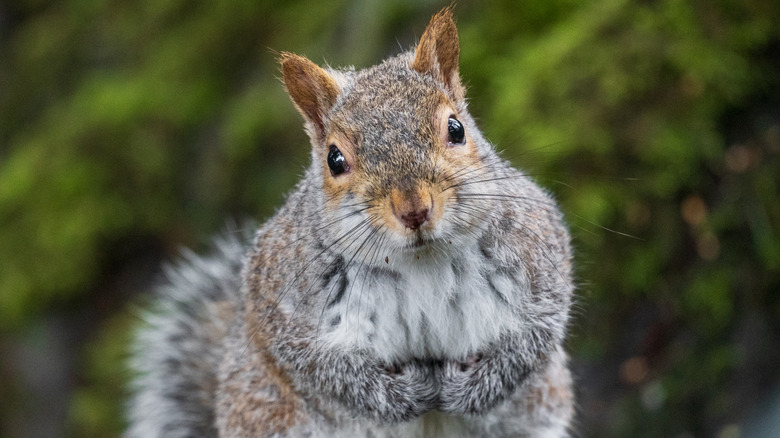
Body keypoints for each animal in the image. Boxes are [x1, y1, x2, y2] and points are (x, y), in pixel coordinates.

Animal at [126, 8, 575, 438]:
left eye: (456, 128)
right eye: (334, 159)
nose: (414, 210)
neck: (420, 260)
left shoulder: (538, 250)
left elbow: (534, 337)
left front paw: (475, 387)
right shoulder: (281, 302)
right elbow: (323, 370)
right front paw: (401, 395)